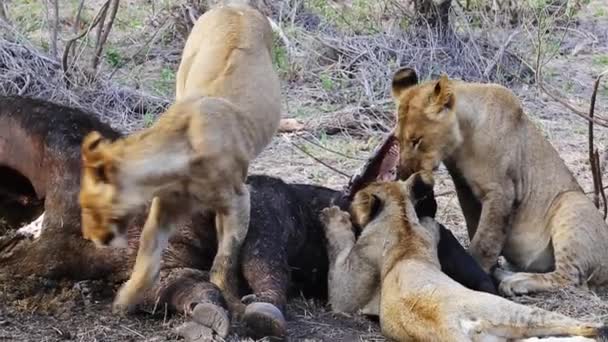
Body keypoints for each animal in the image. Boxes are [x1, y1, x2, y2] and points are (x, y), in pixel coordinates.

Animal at [320, 176, 608, 342]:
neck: (402, 223)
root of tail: (463, 326)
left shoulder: (348, 291)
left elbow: (340, 255)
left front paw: (333, 215)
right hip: (516, 322)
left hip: (512, 309)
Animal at [388, 67, 608, 296]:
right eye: (397, 139)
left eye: (416, 140)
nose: (403, 175)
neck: (463, 142)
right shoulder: (464, 188)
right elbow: (475, 228)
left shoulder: (502, 191)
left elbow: (486, 238)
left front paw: (476, 269)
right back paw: (505, 274)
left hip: (573, 202)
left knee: (570, 278)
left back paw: (516, 282)